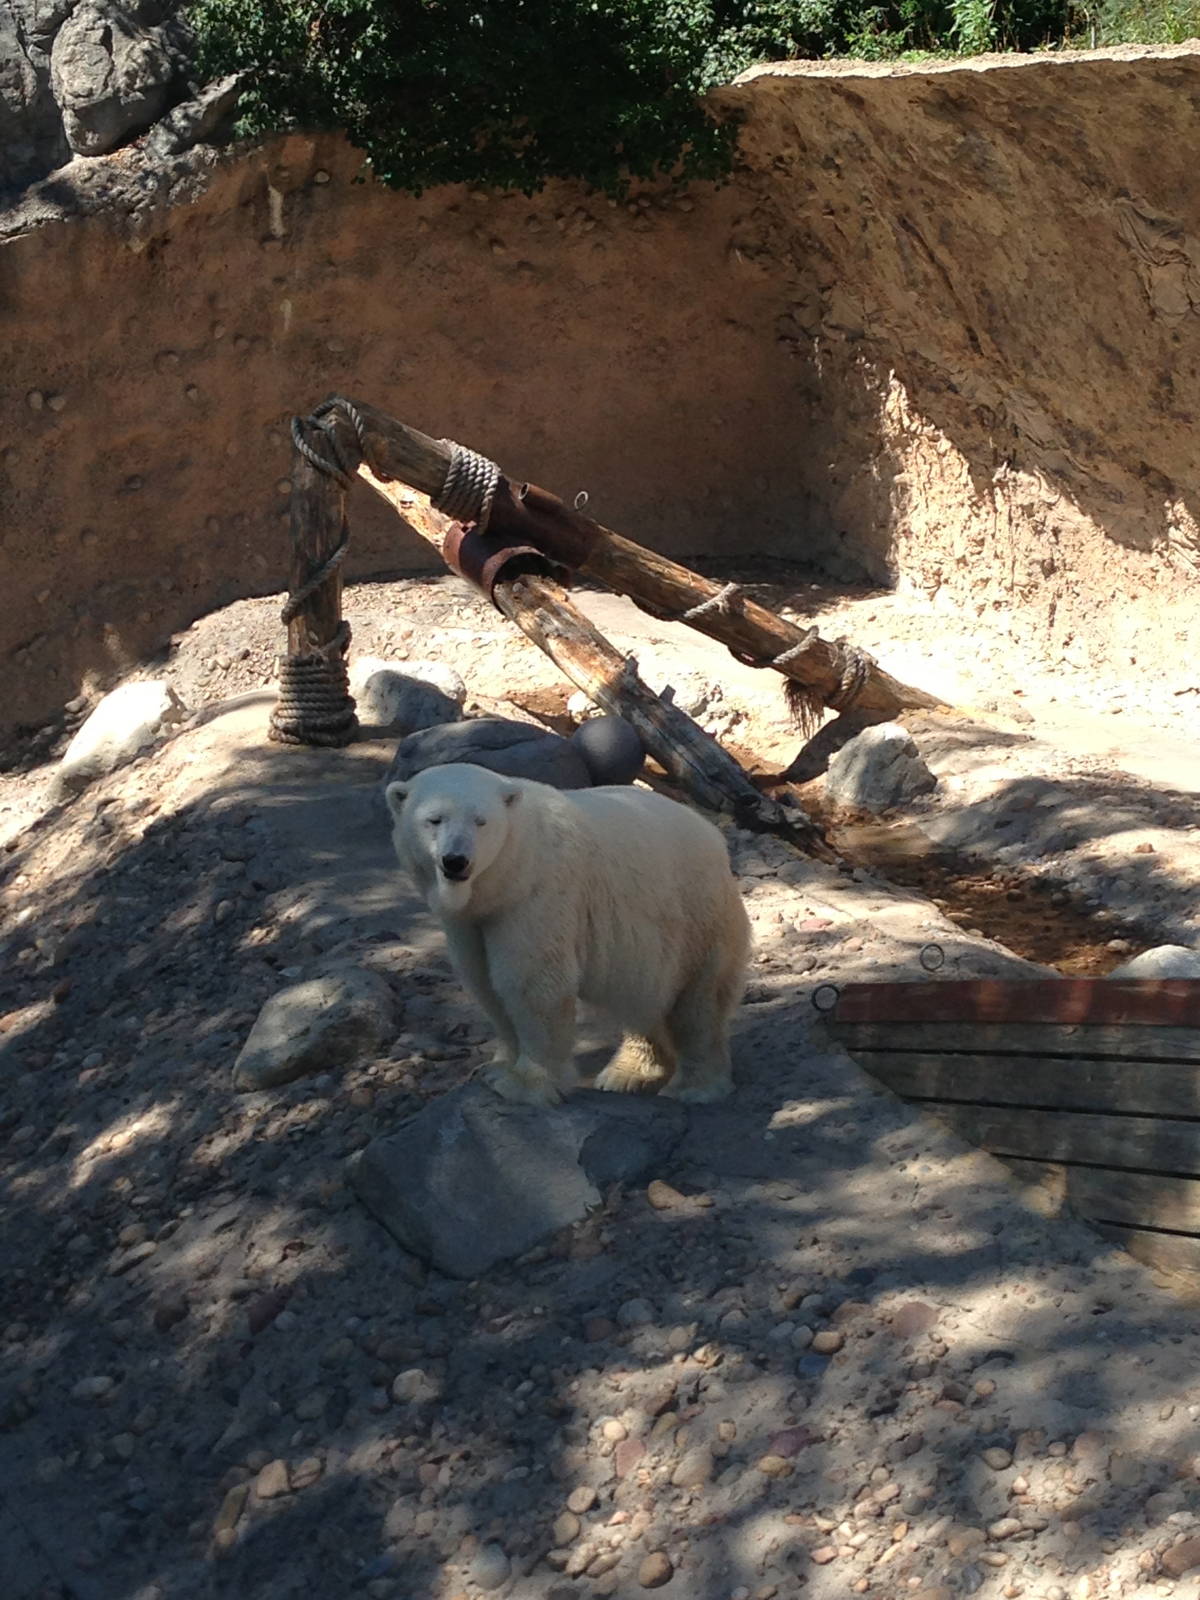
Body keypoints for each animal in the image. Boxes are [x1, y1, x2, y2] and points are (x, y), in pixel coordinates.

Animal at [385, 762, 751, 1107]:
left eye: (481, 821)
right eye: (434, 820)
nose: (456, 861)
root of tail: (713, 836)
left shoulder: (536, 894)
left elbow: (529, 982)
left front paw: (523, 1085)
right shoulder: (470, 922)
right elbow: (484, 981)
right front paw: (495, 1068)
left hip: (694, 913)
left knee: (699, 1001)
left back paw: (693, 1087)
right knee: (644, 999)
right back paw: (629, 1073)